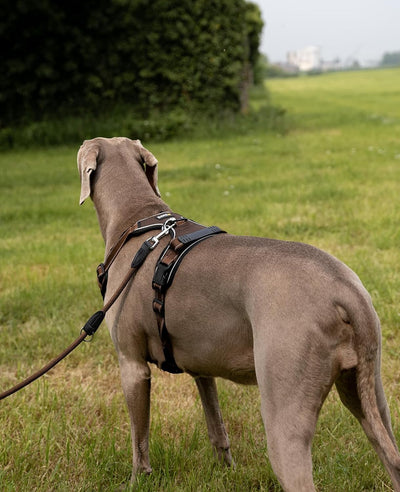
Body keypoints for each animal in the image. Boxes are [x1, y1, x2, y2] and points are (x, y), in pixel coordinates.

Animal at [77, 136, 400, 490]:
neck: (138, 218)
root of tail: (345, 288)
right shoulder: (201, 367)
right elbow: (216, 426)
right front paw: (225, 471)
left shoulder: (132, 365)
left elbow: (140, 440)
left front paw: (137, 480)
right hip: (369, 393)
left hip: (284, 410)